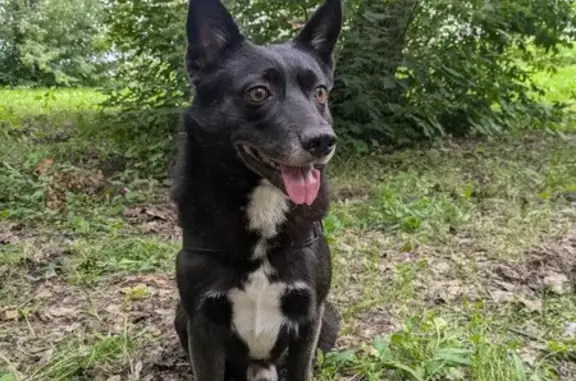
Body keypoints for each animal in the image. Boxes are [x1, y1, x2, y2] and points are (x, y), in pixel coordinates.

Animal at [171, 1, 342, 378]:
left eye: (320, 92)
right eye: (258, 92)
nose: (323, 141)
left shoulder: (310, 317)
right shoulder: (201, 325)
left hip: (331, 319)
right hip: (179, 317)